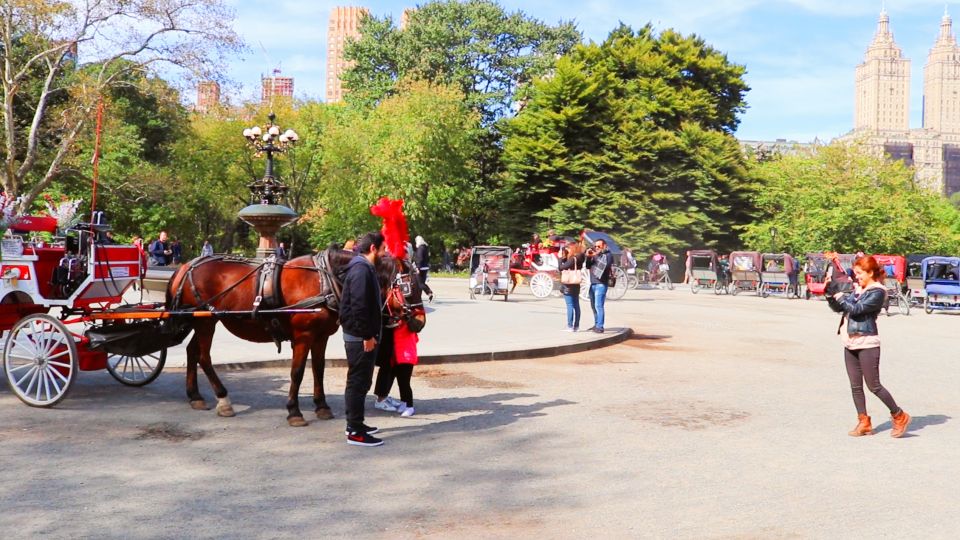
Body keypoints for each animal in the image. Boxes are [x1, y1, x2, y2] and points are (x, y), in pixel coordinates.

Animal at [165, 250, 424, 426]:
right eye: (408, 287)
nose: (420, 321)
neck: (326, 280)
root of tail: (187, 265)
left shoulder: (321, 337)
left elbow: (318, 369)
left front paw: (322, 406)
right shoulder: (303, 336)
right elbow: (297, 372)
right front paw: (294, 411)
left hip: (200, 321)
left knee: (192, 351)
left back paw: (195, 396)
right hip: (206, 321)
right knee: (204, 356)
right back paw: (223, 399)